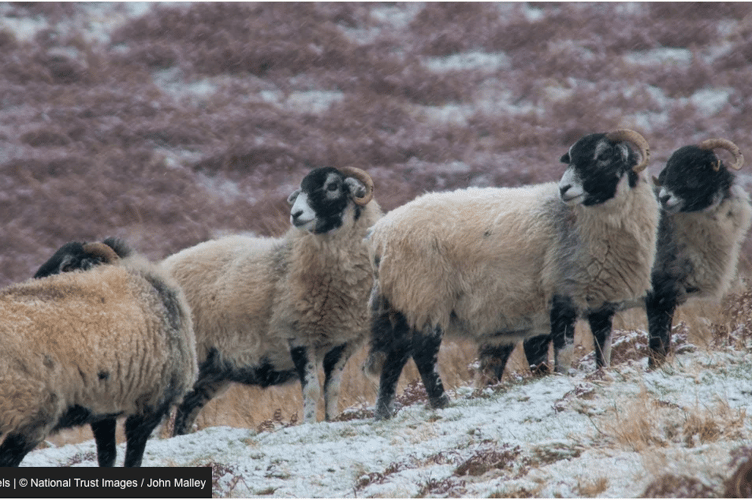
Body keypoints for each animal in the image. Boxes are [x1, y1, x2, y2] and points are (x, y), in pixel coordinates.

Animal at [1, 243, 197, 467]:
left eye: (63, 267)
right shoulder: (150, 406)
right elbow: (132, 458)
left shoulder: (104, 408)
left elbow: (107, 454)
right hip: (31, 413)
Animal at [160, 166, 382, 434]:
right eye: (301, 189)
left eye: (332, 186)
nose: (295, 214)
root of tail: (163, 266)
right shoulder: (299, 337)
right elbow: (312, 390)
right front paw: (309, 424)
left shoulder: (342, 344)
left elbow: (333, 390)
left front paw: (331, 421)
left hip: (211, 372)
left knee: (186, 410)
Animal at [364, 130, 660, 420]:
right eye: (571, 159)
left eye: (603, 156)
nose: (564, 189)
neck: (579, 219)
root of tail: (380, 235)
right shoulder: (562, 294)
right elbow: (564, 353)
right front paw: (564, 379)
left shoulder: (601, 301)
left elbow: (603, 351)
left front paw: (601, 375)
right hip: (425, 297)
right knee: (423, 353)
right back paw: (441, 403)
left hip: (404, 302)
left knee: (395, 356)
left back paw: (384, 412)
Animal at [521, 138, 751, 373]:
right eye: (669, 171)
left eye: (696, 169)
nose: (665, 197)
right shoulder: (658, 295)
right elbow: (658, 344)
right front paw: (655, 369)